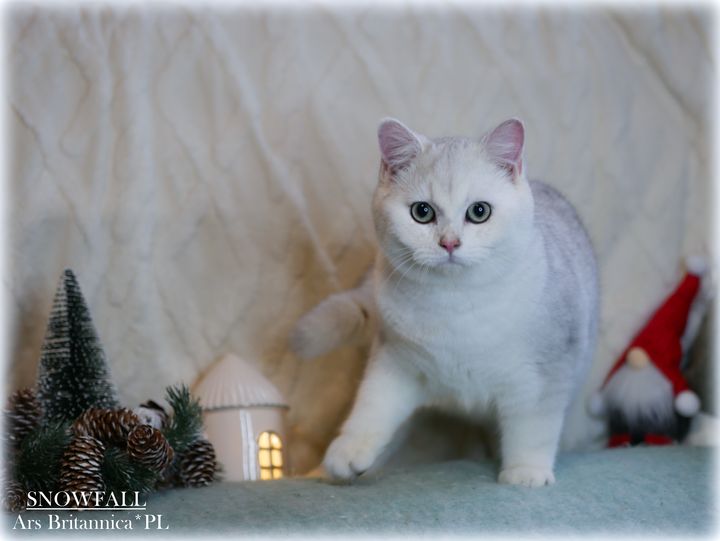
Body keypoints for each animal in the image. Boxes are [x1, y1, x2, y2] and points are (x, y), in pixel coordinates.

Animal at [290, 117, 599, 487]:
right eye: (422, 212)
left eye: (479, 212)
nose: (449, 243)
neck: (455, 304)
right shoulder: (396, 361)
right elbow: (372, 404)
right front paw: (348, 451)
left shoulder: (544, 375)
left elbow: (533, 428)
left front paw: (526, 472)